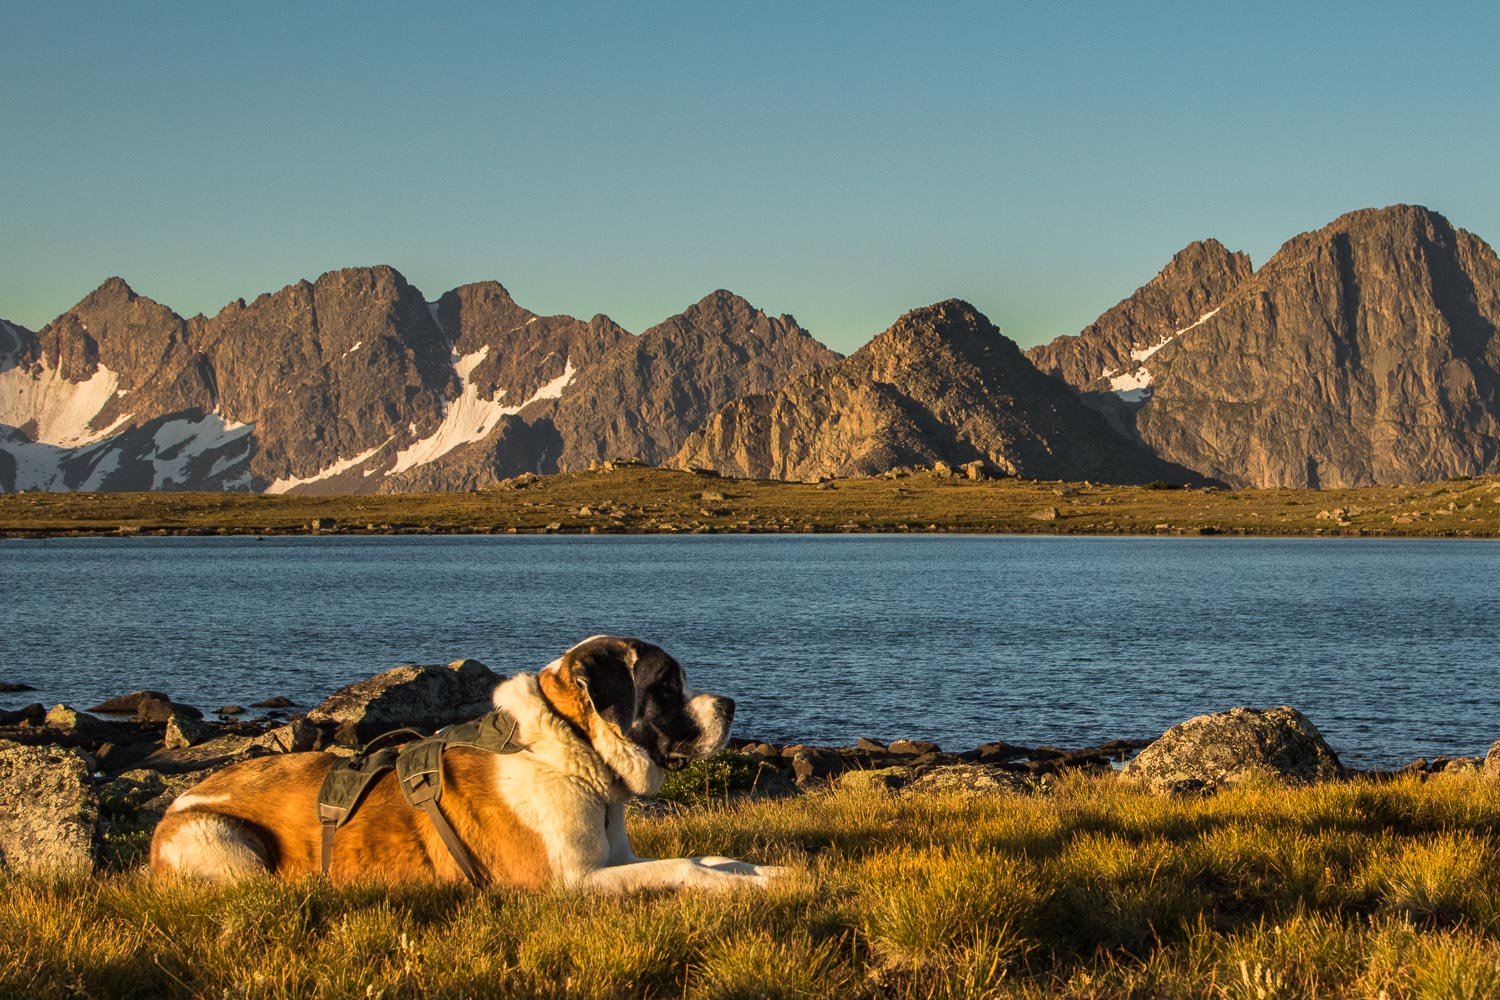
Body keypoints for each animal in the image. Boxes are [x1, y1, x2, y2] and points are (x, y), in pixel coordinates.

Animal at [150, 632, 786, 893]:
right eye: (668, 687)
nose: (730, 705)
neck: (569, 750)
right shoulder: (572, 881)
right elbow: (685, 867)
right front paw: (744, 886)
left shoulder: (616, 857)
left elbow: (707, 856)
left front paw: (769, 873)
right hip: (226, 842)